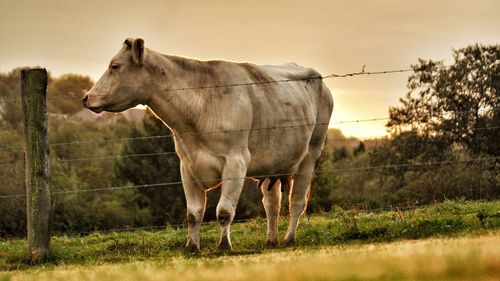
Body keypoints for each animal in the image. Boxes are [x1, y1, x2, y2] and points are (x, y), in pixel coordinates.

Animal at [82, 37, 334, 252]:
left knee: (297, 202)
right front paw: (192, 247)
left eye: (115, 66)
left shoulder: (236, 162)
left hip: (311, 155)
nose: (85, 97)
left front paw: (224, 246)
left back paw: (289, 239)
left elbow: (224, 211)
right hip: (273, 164)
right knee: (272, 204)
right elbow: (193, 213)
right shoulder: (187, 165)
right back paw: (271, 241)